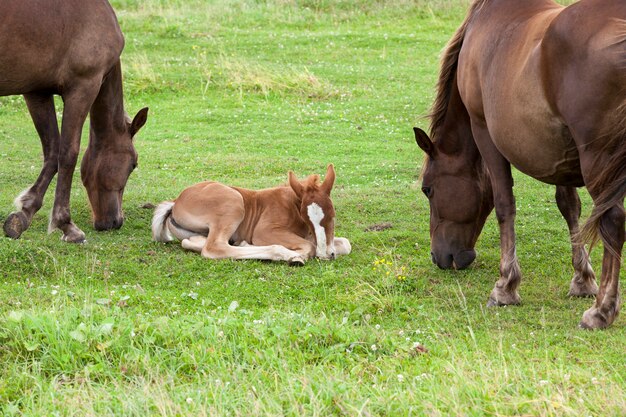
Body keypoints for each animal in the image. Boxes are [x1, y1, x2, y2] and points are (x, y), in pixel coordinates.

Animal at [0, 0, 148, 242]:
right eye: (133, 164)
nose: (115, 222)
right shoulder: (83, 87)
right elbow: (68, 154)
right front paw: (66, 224)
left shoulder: (37, 92)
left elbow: (52, 153)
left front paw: (24, 214)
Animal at [149, 163, 348, 264]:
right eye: (307, 220)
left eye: (332, 216)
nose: (325, 254)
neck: (292, 203)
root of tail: (176, 201)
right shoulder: (265, 231)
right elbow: (309, 247)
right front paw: (296, 256)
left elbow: (345, 244)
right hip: (234, 202)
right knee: (213, 247)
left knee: (191, 242)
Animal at [412, 0, 620, 328]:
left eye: (427, 190)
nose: (438, 257)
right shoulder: (559, 151)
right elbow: (569, 206)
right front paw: (582, 279)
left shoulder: (484, 131)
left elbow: (504, 205)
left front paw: (506, 286)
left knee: (612, 221)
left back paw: (602, 310)